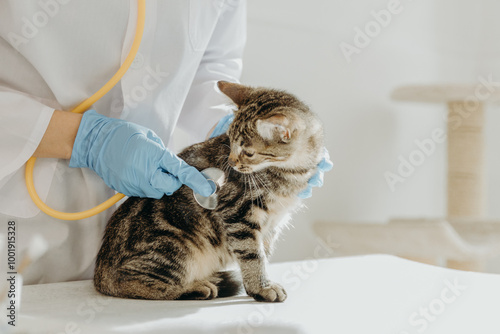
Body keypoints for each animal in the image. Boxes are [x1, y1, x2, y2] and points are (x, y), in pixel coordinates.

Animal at [94, 81, 324, 302]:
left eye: (248, 152)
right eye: (229, 141)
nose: (231, 162)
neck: (293, 173)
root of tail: (100, 274)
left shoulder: (270, 225)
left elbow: (263, 253)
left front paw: (261, 281)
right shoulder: (238, 215)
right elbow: (252, 255)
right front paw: (261, 287)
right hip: (175, 245)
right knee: (129, 281)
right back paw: (195, 287)